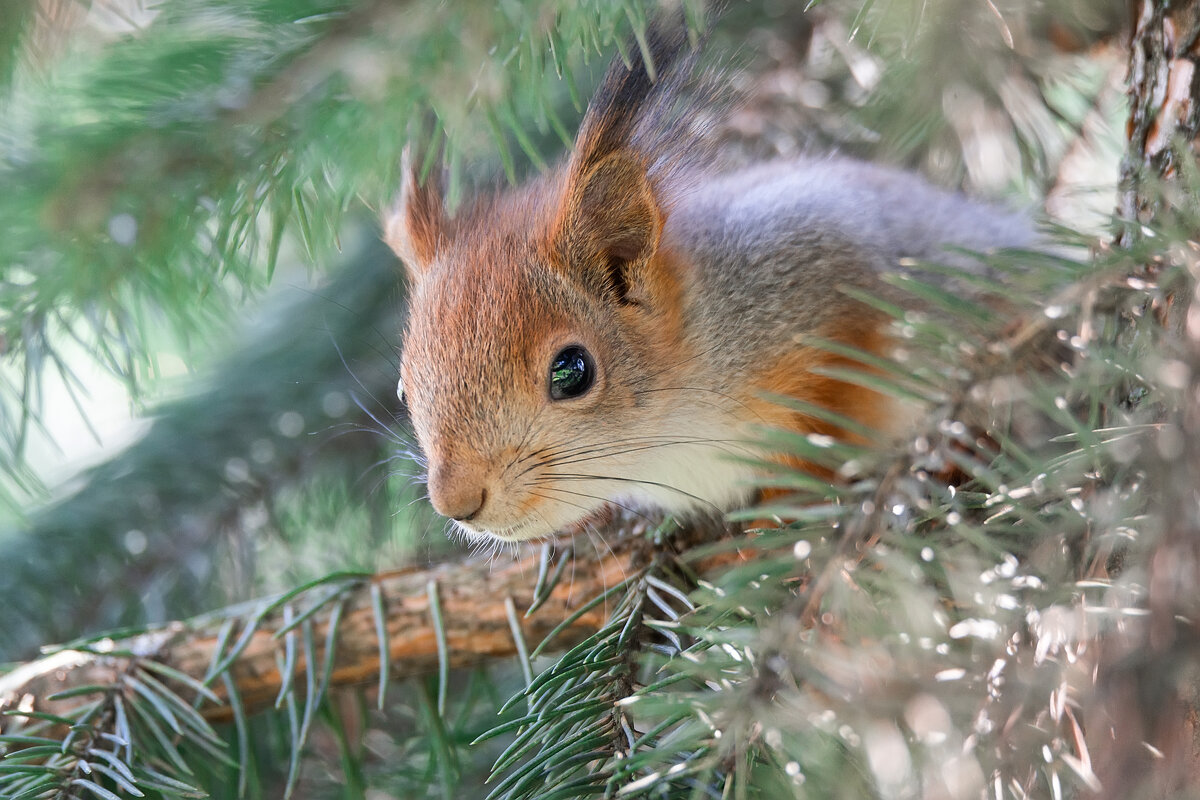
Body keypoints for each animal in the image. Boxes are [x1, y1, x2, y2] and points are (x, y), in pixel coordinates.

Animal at [381, 21, 1032, 544]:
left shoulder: (817, 265)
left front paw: (784, 502)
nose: (457, 502)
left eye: (571, 371)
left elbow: (840, 395)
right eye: (405, 388)